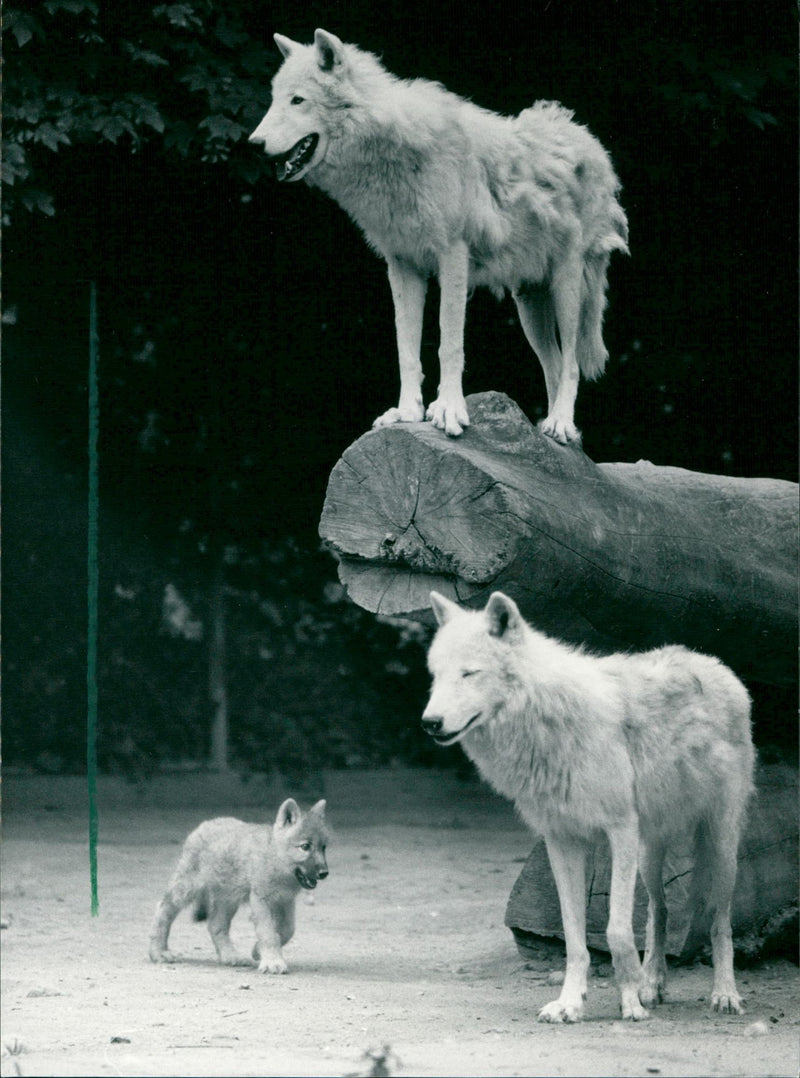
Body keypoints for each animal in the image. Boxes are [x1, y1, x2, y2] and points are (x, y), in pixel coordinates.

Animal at [148, 798, 328, 974]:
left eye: (323, 847)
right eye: (305, 847)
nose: (324, 873)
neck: (275, 859)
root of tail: (204, 824)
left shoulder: (285, 902)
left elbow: (286, 931)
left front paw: (258, 951)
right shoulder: (261, 900)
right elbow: (268, 933)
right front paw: (273, 962)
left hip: (228, 899)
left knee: (215, 925)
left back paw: (230, 956)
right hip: (187, 889)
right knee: (163, 908)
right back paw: (159, 953)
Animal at [249, 29, 628, 444]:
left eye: (297, 100)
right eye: (274, 98)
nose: (253, 143)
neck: (391, 149)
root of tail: (592, 143)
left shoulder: (452, 257)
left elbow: (449, 343)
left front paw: (448, 410)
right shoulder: (402, 266)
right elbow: (407, 347)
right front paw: (406, 411)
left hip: (567, 288)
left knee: (572, 363)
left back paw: (561, 424)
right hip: (529, 306)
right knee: (556, 364)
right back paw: (550, 431)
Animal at [422, 591, 755, 1023]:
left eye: (469, 674)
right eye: (436, 675)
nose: (430, 722)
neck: (548, 721)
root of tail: (711, 662)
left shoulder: (620, 832)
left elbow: (616, 930)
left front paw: (629, 1002)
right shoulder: (561, 840)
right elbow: (574, 934)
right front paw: (571, 1002)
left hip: (720, 847)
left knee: (720, 920)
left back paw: (724, 993)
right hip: (649, 858)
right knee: (659, 912)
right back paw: (653, 984)